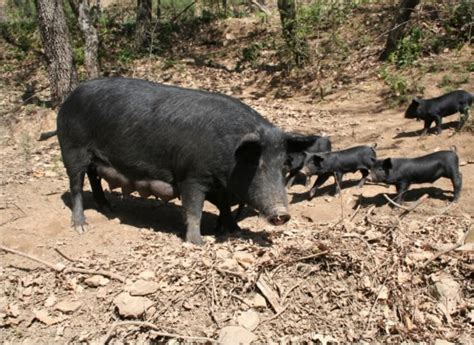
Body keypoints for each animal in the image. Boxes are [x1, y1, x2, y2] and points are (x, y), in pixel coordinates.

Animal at [56, 78, 314, 245]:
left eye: (283, 166)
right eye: (255, 165)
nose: (282, 213)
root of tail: (71, 96)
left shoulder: (219, 186)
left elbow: (223, 207)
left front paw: (236, 231)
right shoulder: (192, 175)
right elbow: (194, 209)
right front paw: (198, 242)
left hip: (94, 157)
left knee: (94, 177)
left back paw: (107, 207)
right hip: (72, 149)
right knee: (76, 186)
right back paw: (81, 226)